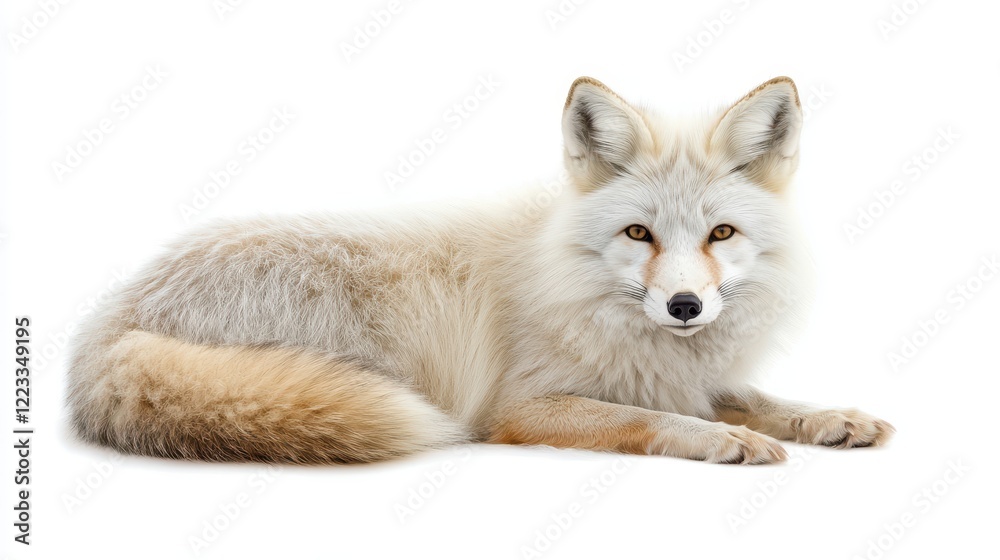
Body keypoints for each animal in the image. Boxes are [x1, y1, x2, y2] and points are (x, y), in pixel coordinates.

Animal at [67, 76, 894, 465]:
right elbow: (653, 420)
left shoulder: (674, 371)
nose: (686, 306)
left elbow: (759, 399)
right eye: (639, 233)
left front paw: (830, 418)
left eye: (722, 233)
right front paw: (719, 439)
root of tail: (112, 317)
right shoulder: (522, 407)